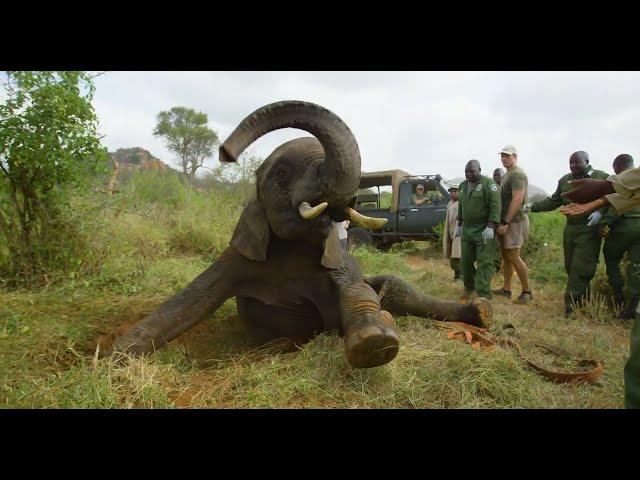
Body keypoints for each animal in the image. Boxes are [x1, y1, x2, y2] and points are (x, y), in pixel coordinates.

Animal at [105, 98, 492, 368]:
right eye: (281, 174)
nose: (225, 152)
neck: (293, 246)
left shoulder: (336, 256)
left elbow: (356, 288)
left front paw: (374, 344)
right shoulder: (238, 258)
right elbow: (187, 304)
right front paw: (108, 362)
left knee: (398, 289)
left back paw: (482, 312)